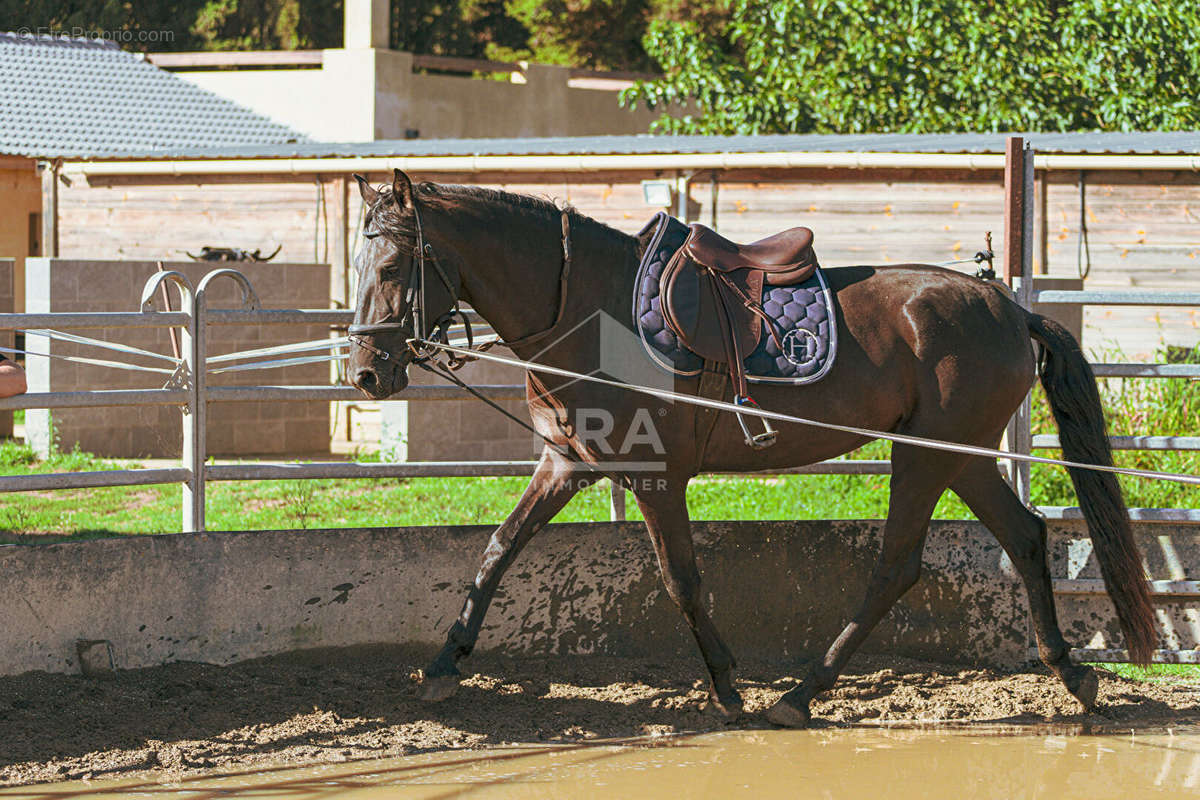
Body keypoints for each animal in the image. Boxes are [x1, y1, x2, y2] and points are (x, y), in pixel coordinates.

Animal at [345, 169, 1152, 724]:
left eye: (390, 269)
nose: (366, 374)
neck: (588, 308)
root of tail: (1011, 309)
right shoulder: (567, 464)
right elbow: (496, 551)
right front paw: (443, 666)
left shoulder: (656, 478)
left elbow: (681, 580)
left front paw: (728, 687)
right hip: (963, 455)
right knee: (1025, 536)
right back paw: (1072, 675)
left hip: (927, 454)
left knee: (897, 567)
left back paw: (799, 695)